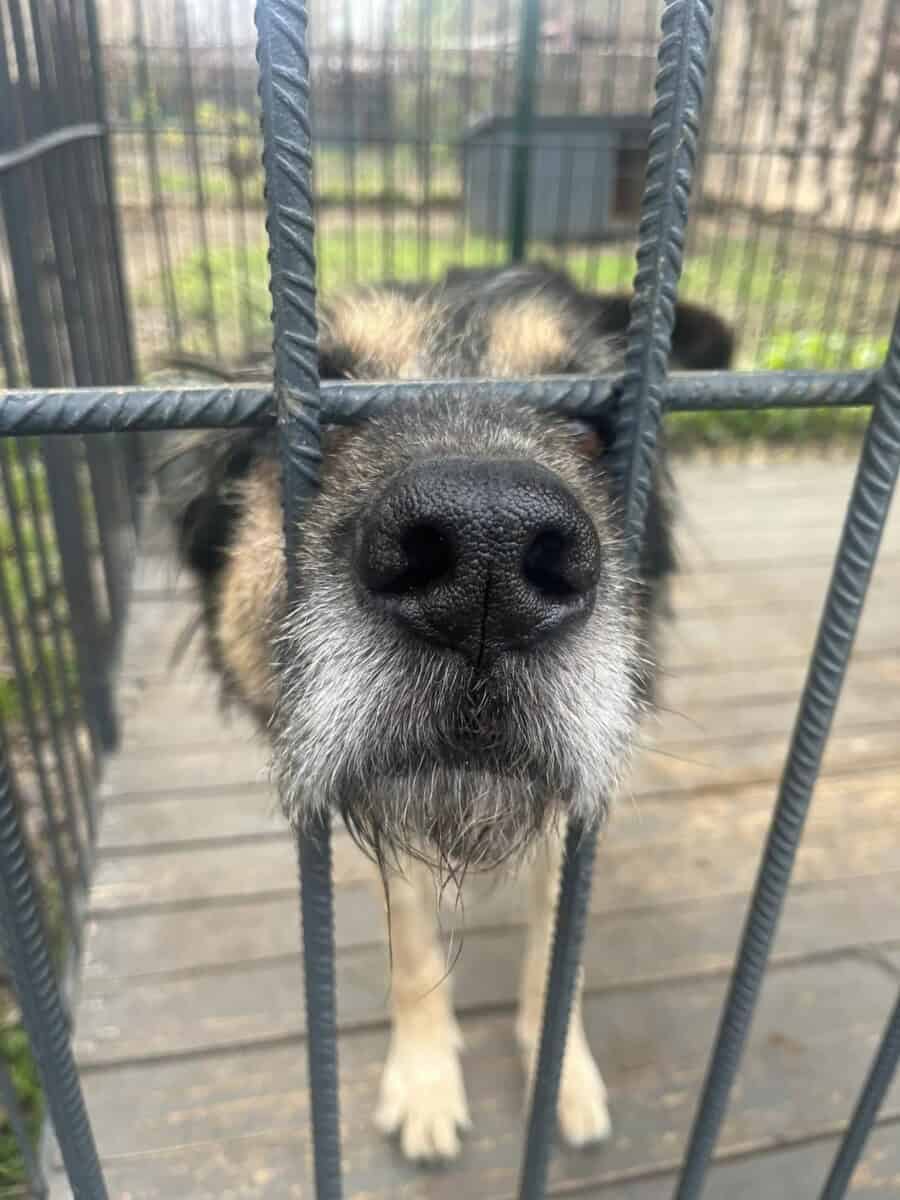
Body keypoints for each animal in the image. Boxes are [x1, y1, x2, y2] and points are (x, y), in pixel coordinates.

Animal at [159, 262, 733, 1162]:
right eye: (318, 419)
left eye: (590, 423)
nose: (485, 564)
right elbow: (413, 943)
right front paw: (426, 1078)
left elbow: (553, 947)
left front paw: (560, 1071)